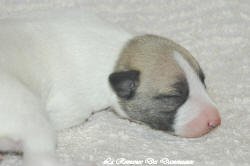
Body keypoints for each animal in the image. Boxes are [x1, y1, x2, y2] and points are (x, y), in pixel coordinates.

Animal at [0, 9, 221, 166]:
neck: (117, 55)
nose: (215, 121)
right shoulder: (70, 106)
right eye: (174, 95)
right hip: (30, 113)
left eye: (202, 80)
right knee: (40, 157)